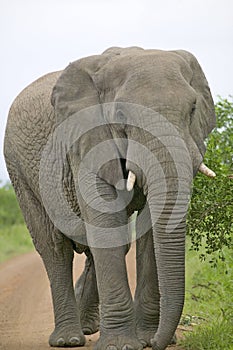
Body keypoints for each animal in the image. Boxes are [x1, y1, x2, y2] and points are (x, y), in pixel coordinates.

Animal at [3, 47, 216, 350]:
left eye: (193, 110)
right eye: (121, 113)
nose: (158, 342)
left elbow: (145, 233)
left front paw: (144, 338)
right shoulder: (87, 141)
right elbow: (105, 226)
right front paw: (121, 345)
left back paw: (88, 326)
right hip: (19, 171)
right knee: (53, 247)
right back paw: (68, 339)